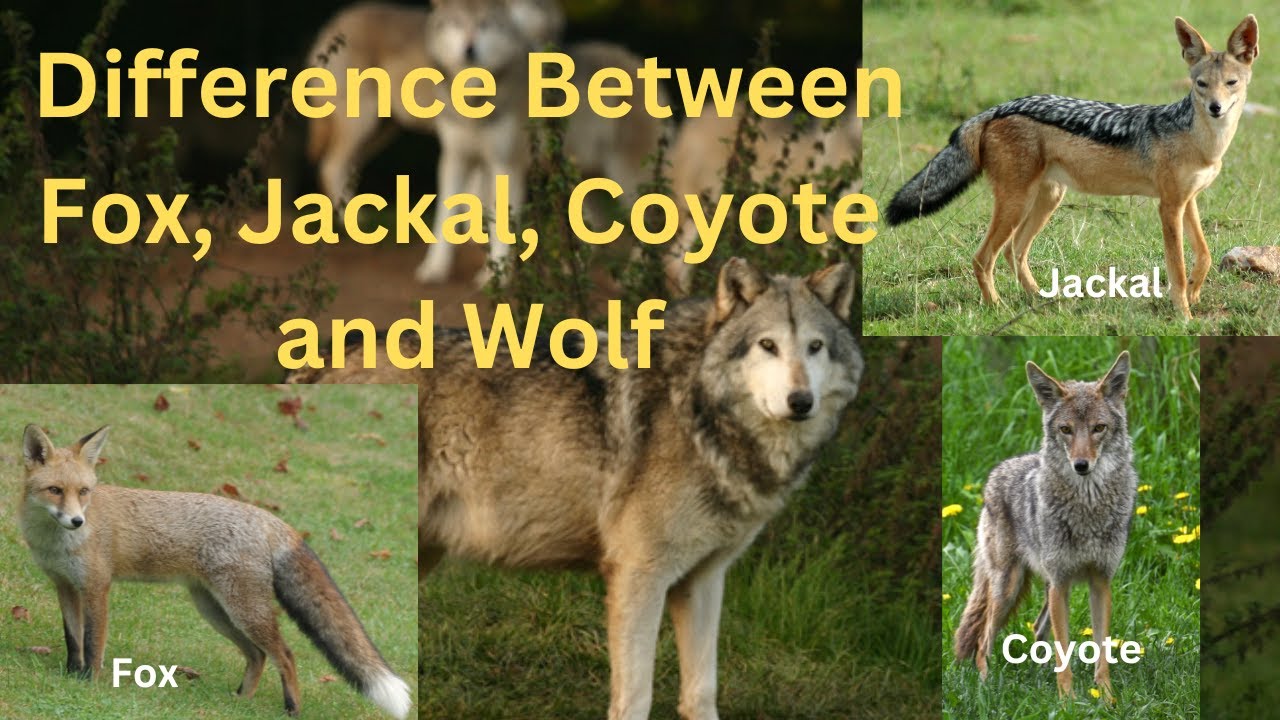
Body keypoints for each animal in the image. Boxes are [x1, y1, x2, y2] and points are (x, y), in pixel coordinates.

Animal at [16, 424, 412, 719]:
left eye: (84, 491)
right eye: (55, 490)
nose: (77, 521)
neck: (56, 542)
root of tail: (270, 518)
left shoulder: (97, 587)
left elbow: (92, 643)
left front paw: (91, 685)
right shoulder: (65, 586)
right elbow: (73, 639)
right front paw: (71, 676)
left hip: (243, 610)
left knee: (285, 654)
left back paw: (292, 709)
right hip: (216, 610)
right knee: (258, 656)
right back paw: (241, 701)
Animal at [886, 16, 1260, 320]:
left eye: (1231, 83)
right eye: (1201, 84)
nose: (1215, 108)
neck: (1204, 144)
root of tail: (996, 108)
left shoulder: (1188, 200)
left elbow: (1204, 254)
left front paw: (1195, 293)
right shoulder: (1168, 206)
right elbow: (1177, 269)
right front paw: (1183, 314)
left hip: (1047, 199)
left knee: (1013, 251)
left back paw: (1041, 300)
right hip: (1017, 203)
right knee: (984, 257)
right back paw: (998, 308)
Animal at [954, 352, 1137, 700]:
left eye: (1099, 428)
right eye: (1066, 429)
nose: (1081, 465)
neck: (1087, 508)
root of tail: (995, 473)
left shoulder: (1100, 582)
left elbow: (1102, 650)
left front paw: (1107, 699)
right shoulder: (1061, 583)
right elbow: (1064, 650)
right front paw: (1068, 702)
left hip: (1041, 588)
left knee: (1038, 630)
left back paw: (1038, 677)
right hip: (1009, 587)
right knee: (983, 639)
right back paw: (985, 688)